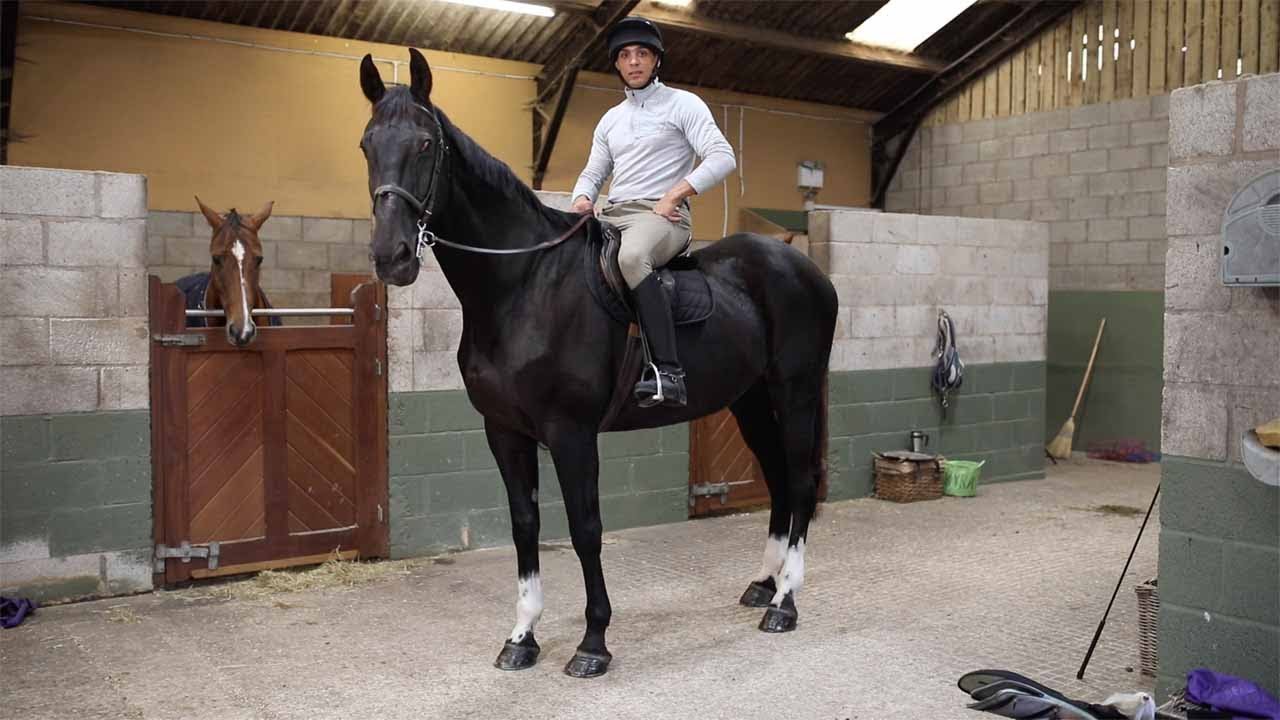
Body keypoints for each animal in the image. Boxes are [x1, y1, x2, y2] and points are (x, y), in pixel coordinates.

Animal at [358, 49, 837, 678]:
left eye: (423, 144)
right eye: (367, 145)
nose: (390, 258)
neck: (523, 285)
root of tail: (804, 268)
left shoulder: (571, 433)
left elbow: (586, 530)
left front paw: (593, 643)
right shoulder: (503, 432)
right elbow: (525, 526)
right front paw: (522, 637)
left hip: (795, 390)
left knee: (801, 480)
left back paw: (784, 602)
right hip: (750, 400)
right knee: (780, 479)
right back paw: (762, 585)